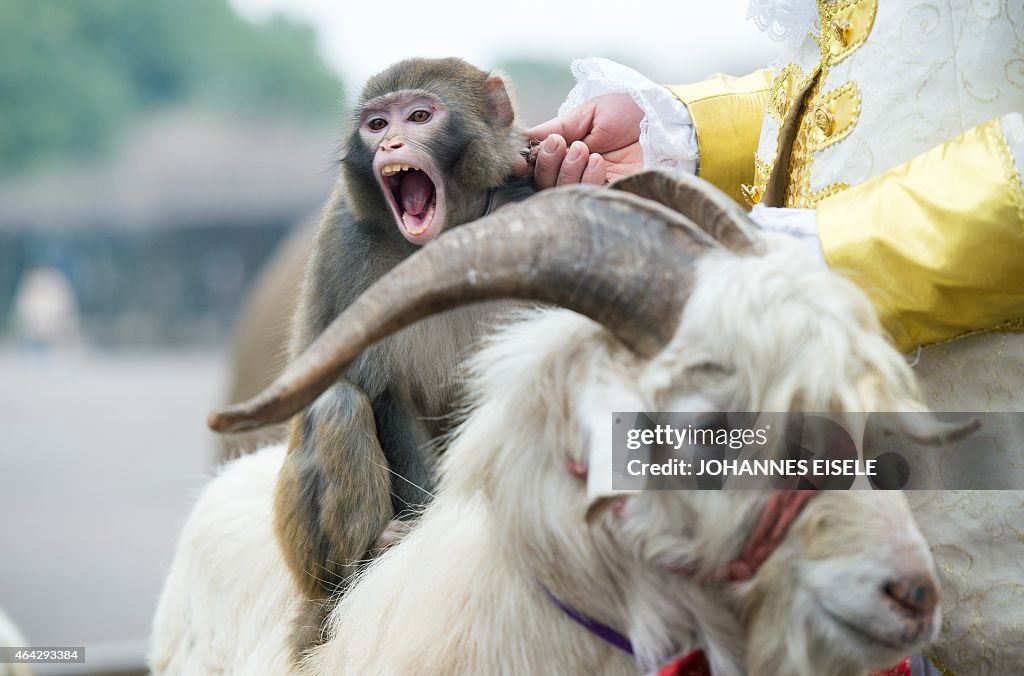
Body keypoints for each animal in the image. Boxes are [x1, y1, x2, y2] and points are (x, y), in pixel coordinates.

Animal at [210, 59, 532, 655]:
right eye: (377, 123)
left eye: (420, 116)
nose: (391, 144)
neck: (441, 245)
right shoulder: (345, 245)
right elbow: (384, 394)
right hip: (302, 553)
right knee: (336, 405)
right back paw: (365, 558)